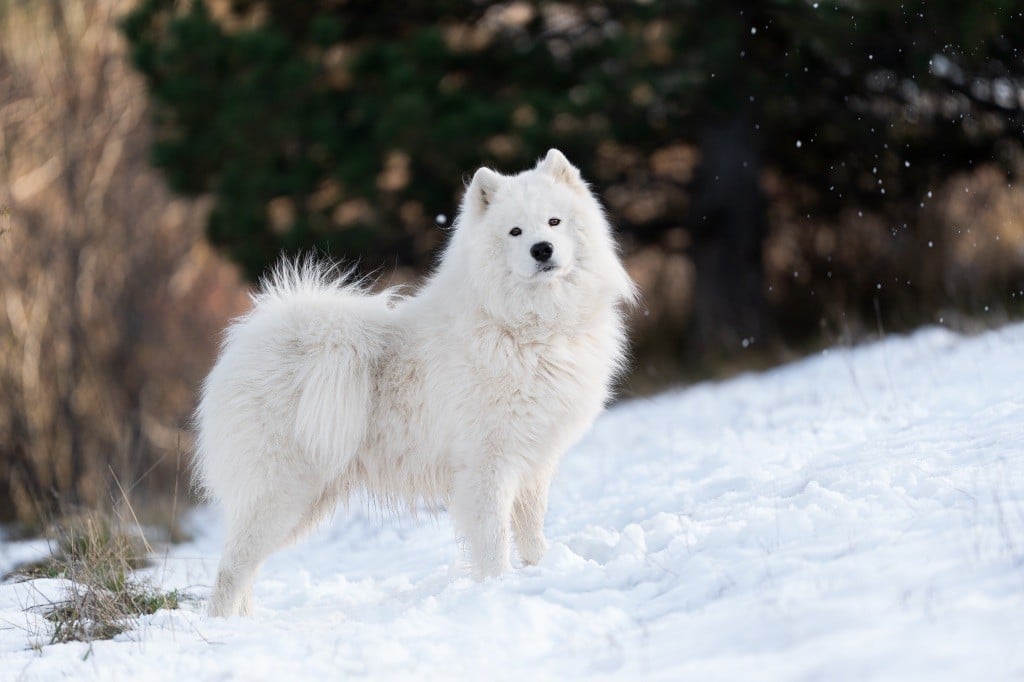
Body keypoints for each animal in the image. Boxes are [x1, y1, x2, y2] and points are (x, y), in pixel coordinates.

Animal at [195, 148, 634, 614]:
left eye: (554, 221)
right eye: (515, 231)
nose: (542, 249)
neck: (525, 327)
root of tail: (244, 349)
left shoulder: (533, 462)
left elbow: (531, 534)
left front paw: (538, 572)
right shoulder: (487, 466)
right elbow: (494, 540)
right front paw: (498, 588)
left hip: (302, 503)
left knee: (245, 572)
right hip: (280, 494)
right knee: (230, 572)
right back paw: (222, 625)